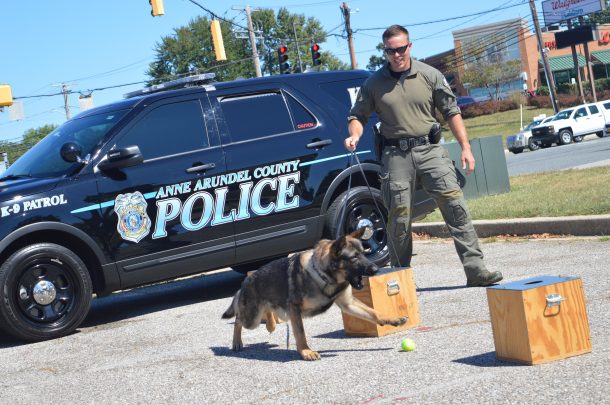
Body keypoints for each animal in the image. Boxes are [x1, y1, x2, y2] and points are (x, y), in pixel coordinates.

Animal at [221, 227, 406, 360]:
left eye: (364, 253)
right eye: (354, 257)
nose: (376, 270)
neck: (323, 275)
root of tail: (246, 281)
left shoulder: (349, 304)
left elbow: (374, 313)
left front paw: (393, 319)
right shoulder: (294, 309)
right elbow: (300, 333)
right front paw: (305, 351)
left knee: (269, 310)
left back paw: (270, 325)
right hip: (251, 319)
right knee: (238, 319)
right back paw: (236, 342)